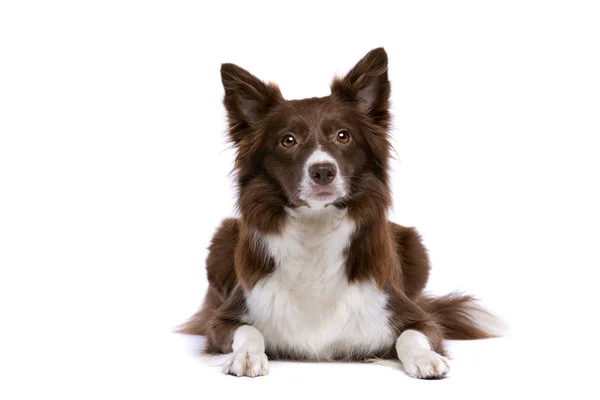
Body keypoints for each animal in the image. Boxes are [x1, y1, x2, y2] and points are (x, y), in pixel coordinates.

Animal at [178, 47, 502, 378]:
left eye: (343, 136)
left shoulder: (412, 314)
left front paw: (426, 358)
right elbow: (248, 330)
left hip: (415, 246)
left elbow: (413, 334)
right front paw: (246, 356)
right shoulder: (223, 319)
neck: (316, 227)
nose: (323, 171)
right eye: (288, 140)